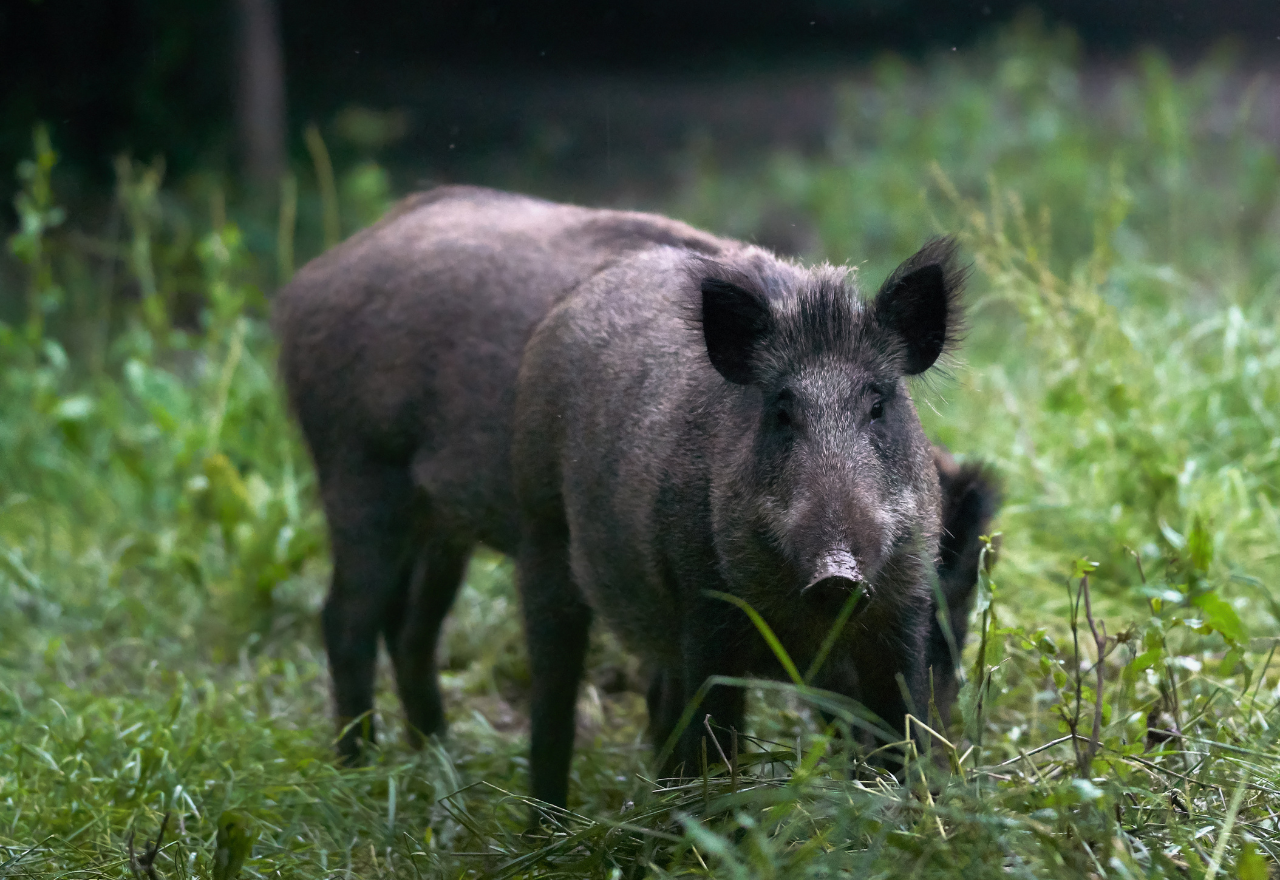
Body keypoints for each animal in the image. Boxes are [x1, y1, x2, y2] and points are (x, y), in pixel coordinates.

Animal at [273, 186, 997, 798]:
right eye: (781, 413)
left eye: (963, 606)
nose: (947, 762)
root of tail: (307, 282)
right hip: (362, 476)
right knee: (346, 619)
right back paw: (360, 774)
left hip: (439, 525)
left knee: (410, 630)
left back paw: (438, 764)